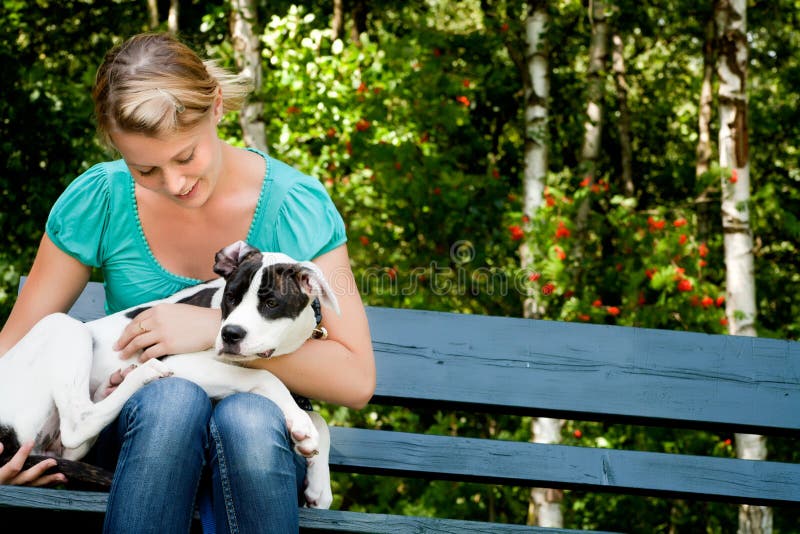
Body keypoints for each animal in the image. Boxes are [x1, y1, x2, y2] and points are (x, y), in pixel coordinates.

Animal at [0, 243, 336, 510]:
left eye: (271, 303)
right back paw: (142, 374)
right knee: (77, 421)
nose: (230, 334)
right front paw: (302, 427)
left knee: (75, 437)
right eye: (230, 297)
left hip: (60, 444)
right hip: (63, 325)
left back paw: (114, 385)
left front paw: (319, 481)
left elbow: (318, 419)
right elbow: (267, 377)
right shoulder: (186, 362)